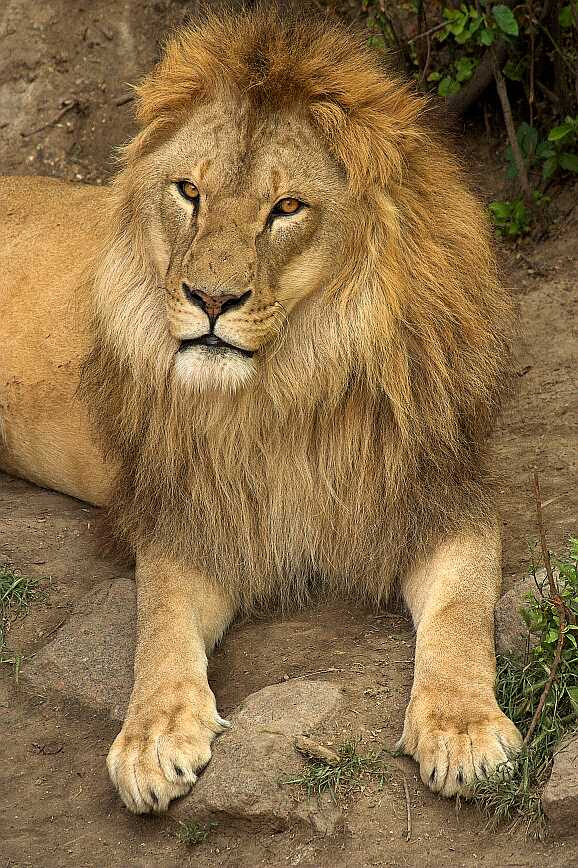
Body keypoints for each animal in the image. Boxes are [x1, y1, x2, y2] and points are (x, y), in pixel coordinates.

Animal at [0, 8, 522, 814]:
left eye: (287, 208)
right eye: (189, 191)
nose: (211, 299)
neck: (287, 390)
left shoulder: (443, 496)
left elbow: (463, 614)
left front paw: (462, 728)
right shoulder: (188, 520)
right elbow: (158, 626)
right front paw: (152, 736)